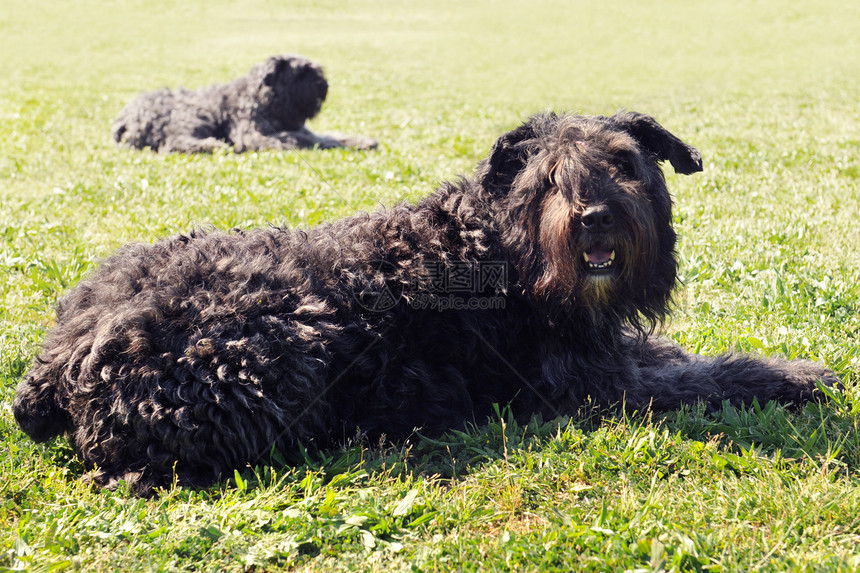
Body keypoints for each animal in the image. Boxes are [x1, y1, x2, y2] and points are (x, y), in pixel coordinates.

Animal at [13, 110, 840, 492]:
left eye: (625, 162)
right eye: (546, 178)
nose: (595, 217)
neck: (499, 249)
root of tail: (54, 364)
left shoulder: (609, 351)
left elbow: (673, 353)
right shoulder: (598, 387)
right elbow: (704, 377)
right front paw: (795, 375)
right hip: (281, 351)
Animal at [110, 52, 376, 152]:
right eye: (301, 73)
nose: (324, 85)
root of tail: (124, 118)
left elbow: (332, 137)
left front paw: (363, 141)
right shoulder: (253, 135)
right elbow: (299, 139)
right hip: (192, 116)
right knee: (175, 143)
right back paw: (214, 145)